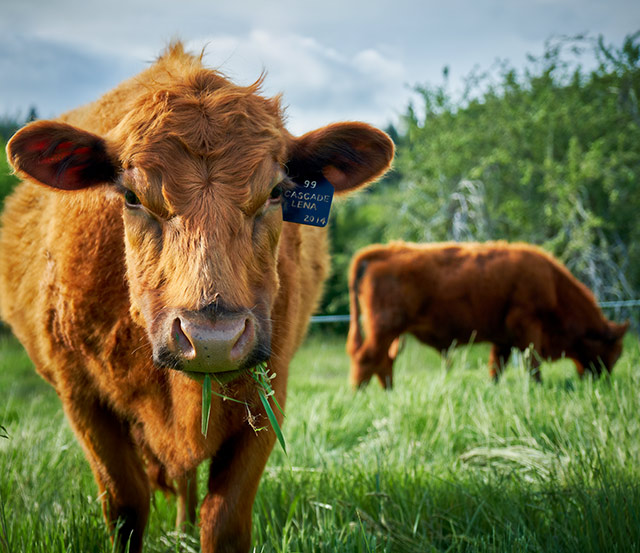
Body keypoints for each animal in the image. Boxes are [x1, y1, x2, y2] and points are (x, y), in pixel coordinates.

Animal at [0, 44, 396, 552]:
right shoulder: (82, 398)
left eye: (276, 192)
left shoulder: (269, 391)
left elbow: (224, 518)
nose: (212, 340)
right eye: (132, 196)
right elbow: (126, 506)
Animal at [348, 240, 628, 388]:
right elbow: (532, 363)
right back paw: (360, 394)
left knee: (382, 361)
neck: (553, 286)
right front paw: (537, 387)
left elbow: (498, 367)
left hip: (386, 334)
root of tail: (385, 251)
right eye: (613, 352)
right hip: (383, 329)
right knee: (367, 358)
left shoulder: (504, 339)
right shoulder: (528, 328)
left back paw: (389, 391)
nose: (605, 382)